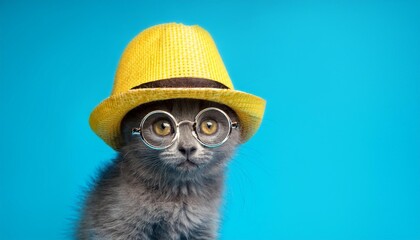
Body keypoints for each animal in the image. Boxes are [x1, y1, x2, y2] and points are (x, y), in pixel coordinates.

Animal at [76, 98, 240, 239]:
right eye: (162, 127)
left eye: (209, 125)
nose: (187, 148)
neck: (178, 197)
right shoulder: (115, 226)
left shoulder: (204, 229)